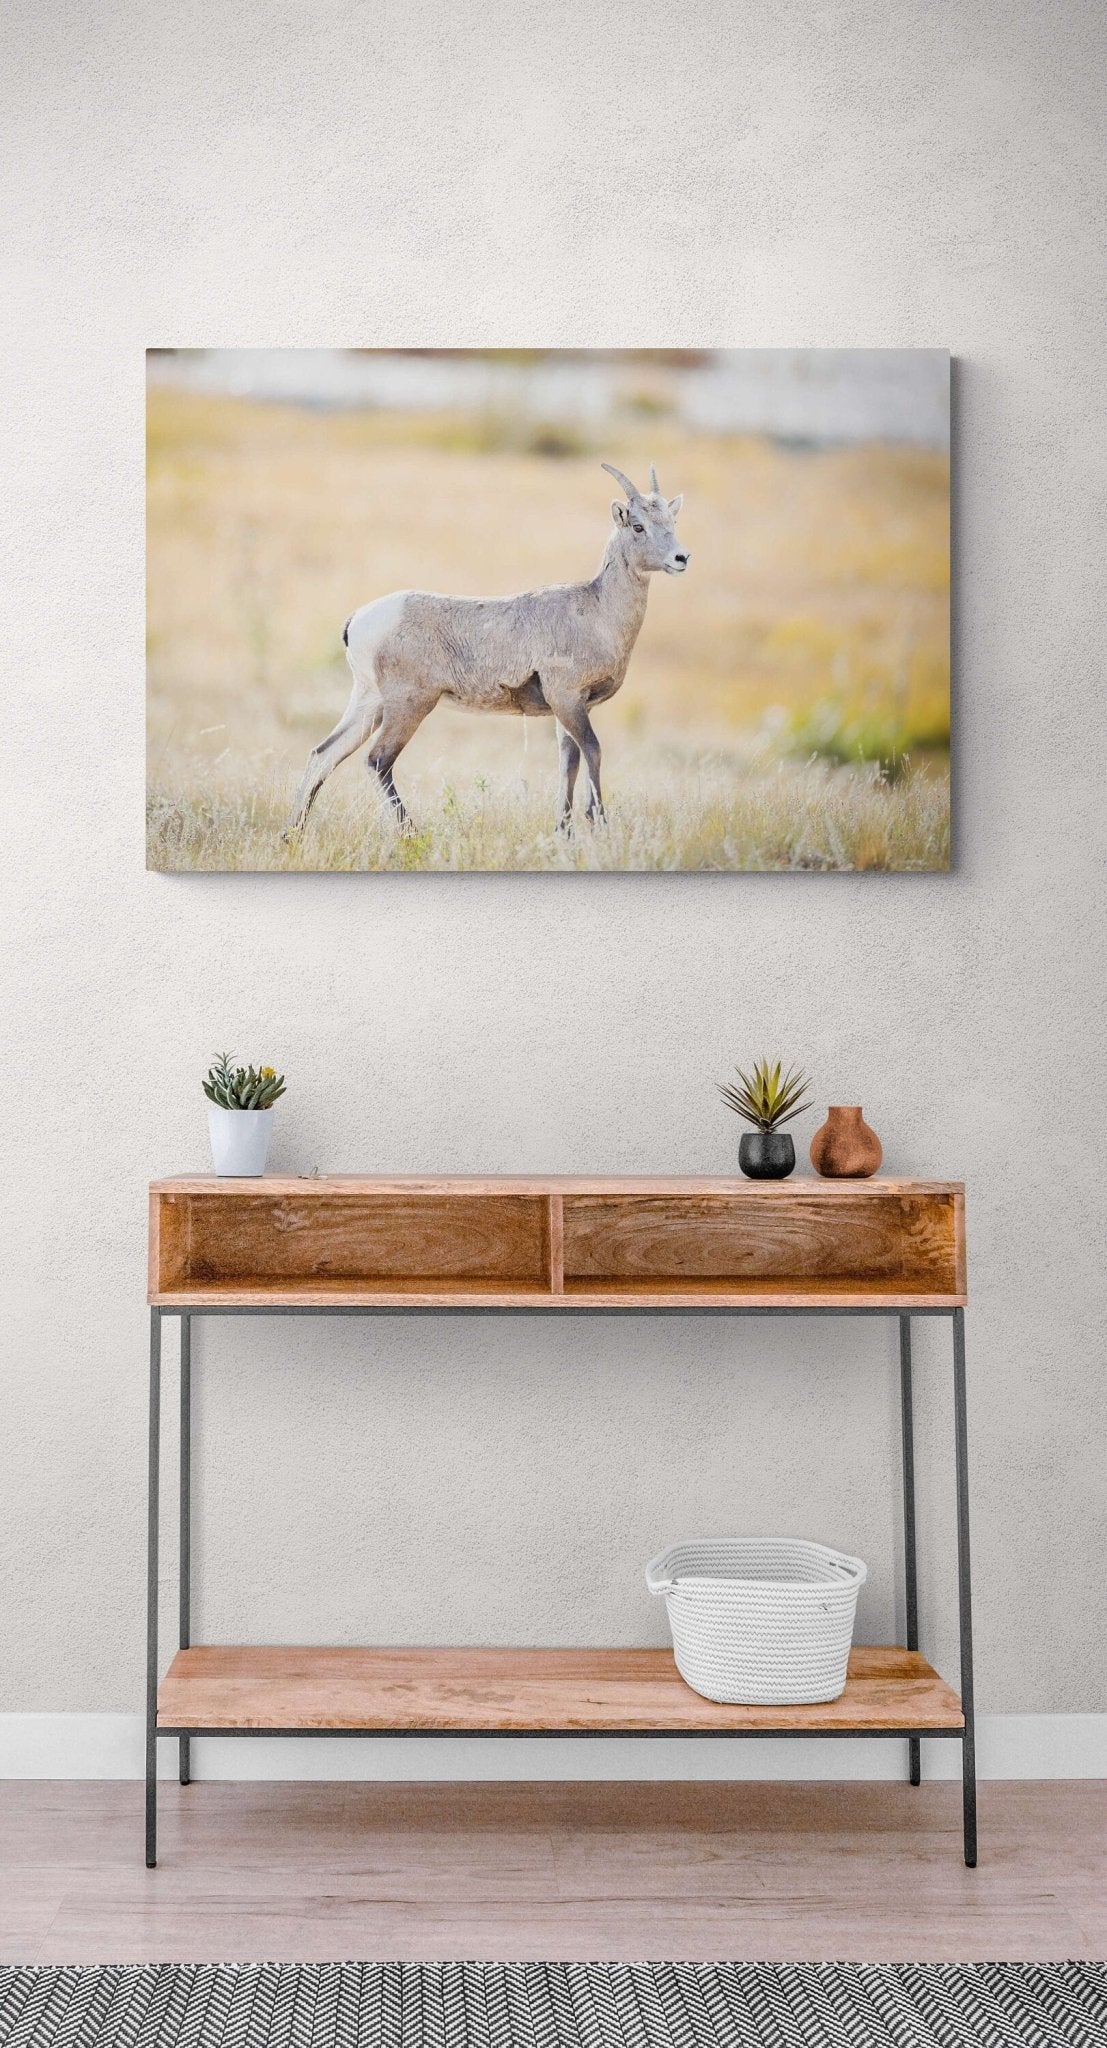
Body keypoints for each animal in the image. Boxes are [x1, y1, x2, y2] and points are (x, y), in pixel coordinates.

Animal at [288, 462, 688, 837]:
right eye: (637, 526)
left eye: (671, 520)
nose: (681, 558)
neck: (598, 612)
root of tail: (358, 620)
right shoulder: (568, 700)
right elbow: (592, 750)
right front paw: (597, 823)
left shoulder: (571, 709)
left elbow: (568, 762)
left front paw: (565, 833)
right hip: (408, 706)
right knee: (377, 760)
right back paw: (411, 833)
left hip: (369, 704)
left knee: (323, 754)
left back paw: (291, 835)